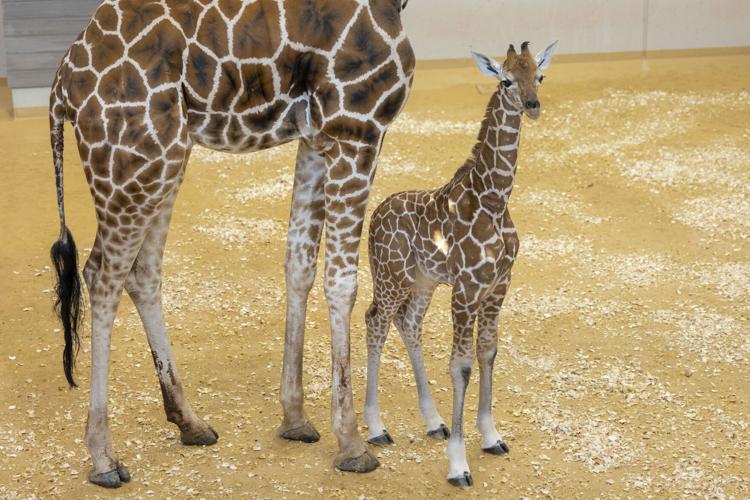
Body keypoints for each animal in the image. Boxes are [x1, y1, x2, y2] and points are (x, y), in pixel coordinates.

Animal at [48, 0, 414, 488]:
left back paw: (190, 423)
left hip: (163, 158)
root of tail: (63, 84)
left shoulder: (317, 139)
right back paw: (105, 458)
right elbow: (342, 283)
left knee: (140, 272)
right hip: (133, 160)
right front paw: (353, 443)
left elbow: (299, 264)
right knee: (102, 276)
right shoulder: (357, 127)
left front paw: (295, 417)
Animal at [362, 41, 558, 487]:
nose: (533, 105)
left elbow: (488, 353)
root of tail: (375, 215)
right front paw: (458, 464)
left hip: (422, 282)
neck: (494, 201)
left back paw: (434, 422)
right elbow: (461, 365)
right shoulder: (467, 290)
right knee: (375, 321)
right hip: (391, 276)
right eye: (506, 80)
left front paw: (491, 436)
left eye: (539, 75)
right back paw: (377, 428)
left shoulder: (498, 285)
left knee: (407, 323)